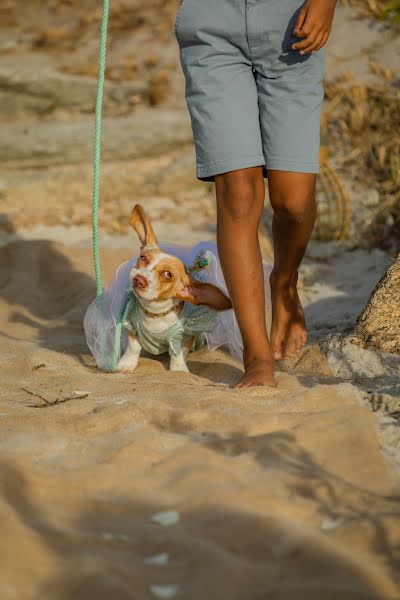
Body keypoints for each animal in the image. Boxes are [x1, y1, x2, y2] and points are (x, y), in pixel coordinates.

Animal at [117, 206, 231, 376]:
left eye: (168, 274)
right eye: (143, 258)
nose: (138, 279)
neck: (154, 314)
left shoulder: (183, 337)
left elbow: (178, 354)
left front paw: (178, 370)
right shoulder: (132, 326)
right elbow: (133, 348)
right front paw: (126, 364)